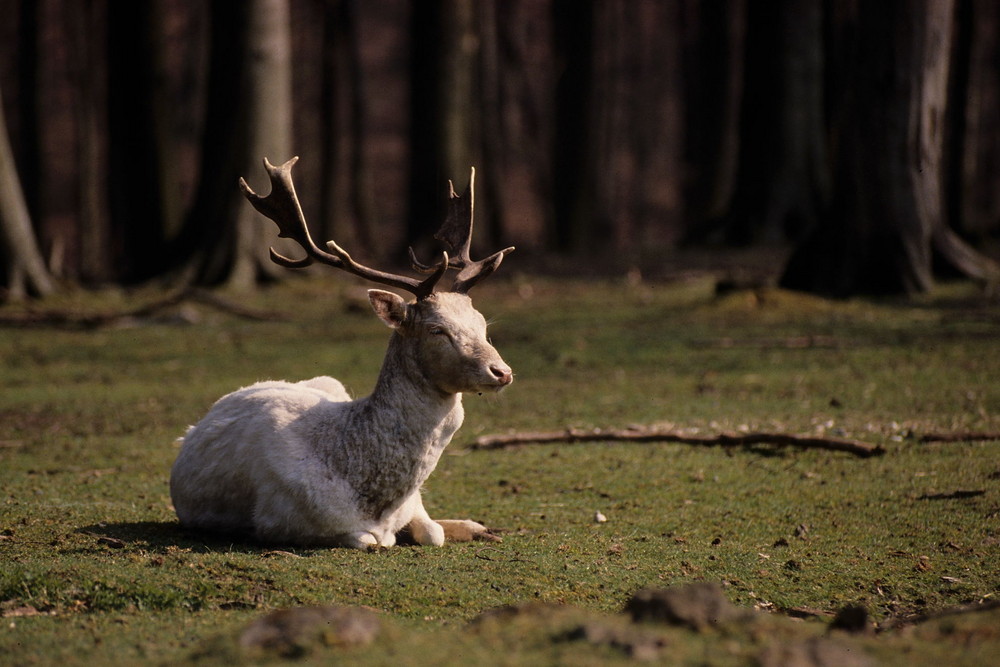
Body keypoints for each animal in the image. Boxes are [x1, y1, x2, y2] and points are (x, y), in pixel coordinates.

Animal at [168, 159, 512, 552]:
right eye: (437, 330)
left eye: (482, 323)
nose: (501, 371)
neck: (378, 503)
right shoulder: (282, 519)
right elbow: (372, 540)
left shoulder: (415, 503)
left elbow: (431, 532)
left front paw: (472, 526)